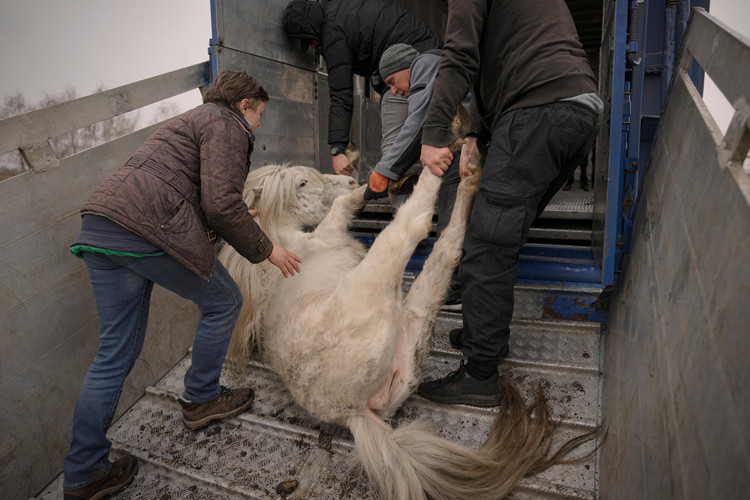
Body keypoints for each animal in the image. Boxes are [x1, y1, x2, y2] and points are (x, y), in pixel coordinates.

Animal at [219, 146, 600, 498]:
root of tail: (352, 411)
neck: (284, 247)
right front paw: (365, 190)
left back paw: (468, 169)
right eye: (301, 182)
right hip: (381, 273)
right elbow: (342, 209)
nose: (350, 180)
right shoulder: (326, 233)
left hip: (413, 327)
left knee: (446, 250)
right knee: (415, 227)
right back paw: (445, 162)